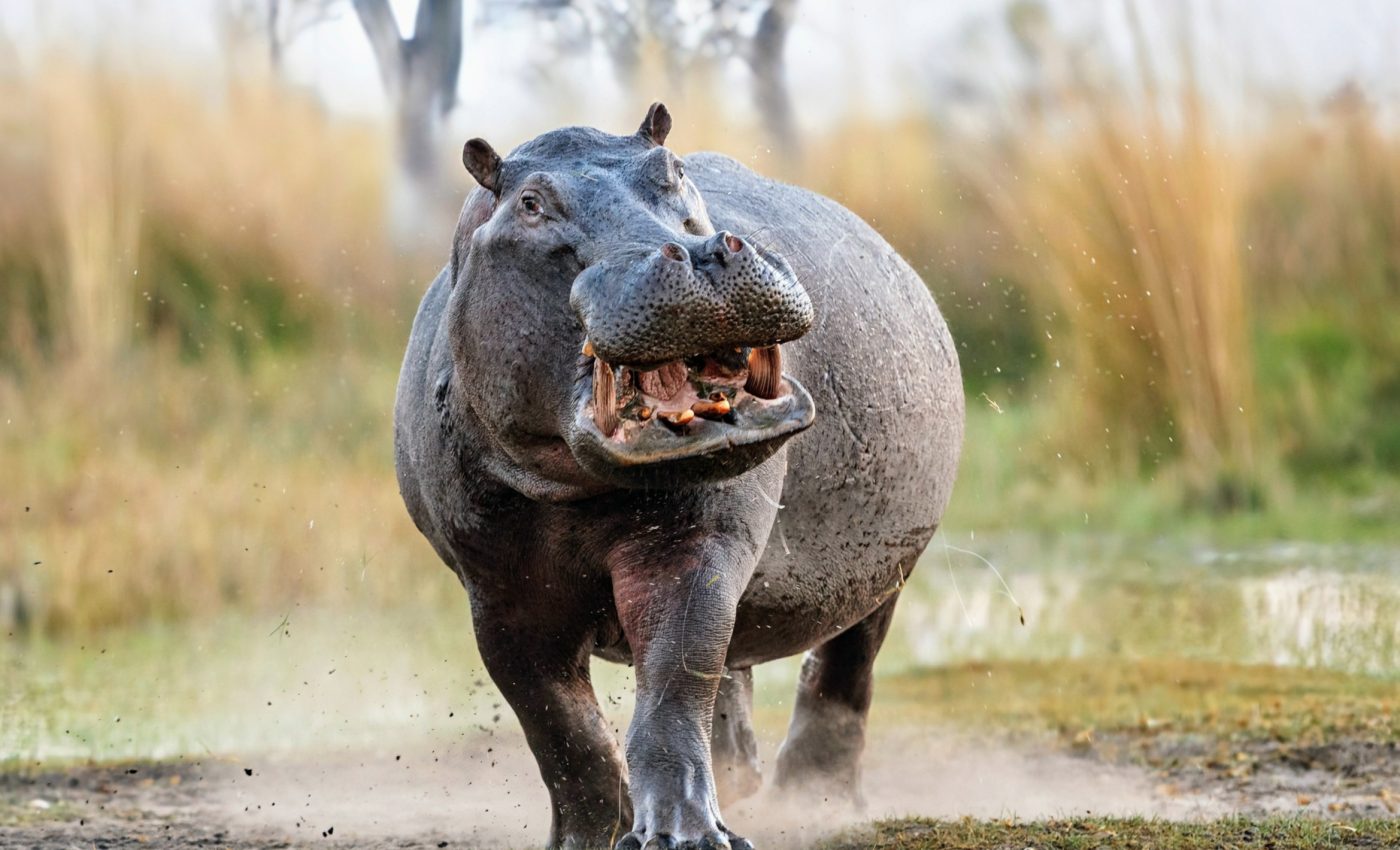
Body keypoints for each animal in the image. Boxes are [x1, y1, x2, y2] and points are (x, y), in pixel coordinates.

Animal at [393, 104, 963, 850]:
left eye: (675, 169)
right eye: (530, 203)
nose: (699, 254)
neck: (570, 487)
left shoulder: (695, 545)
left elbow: (675, 678)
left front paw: (684, 837)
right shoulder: (498, 594)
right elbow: (558, 726)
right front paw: (590, 836)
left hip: (885, 563)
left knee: (845, 668)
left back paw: (815, 801)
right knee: (740, 672)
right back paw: (743, 780)